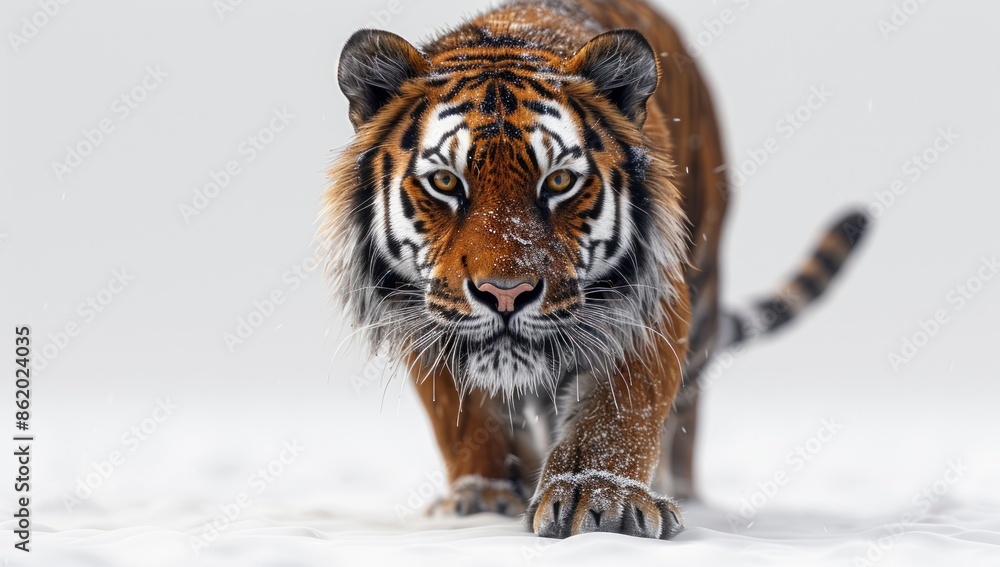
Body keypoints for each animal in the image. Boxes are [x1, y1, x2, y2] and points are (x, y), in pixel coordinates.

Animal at [320, 0, 869, 540]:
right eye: (445, 182)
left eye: (559, 181)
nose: (505, 293)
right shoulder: (427, 320)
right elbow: (464, 417)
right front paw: (484, 498)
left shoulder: (649, 303)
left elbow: (620, 407)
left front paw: (601, 495)